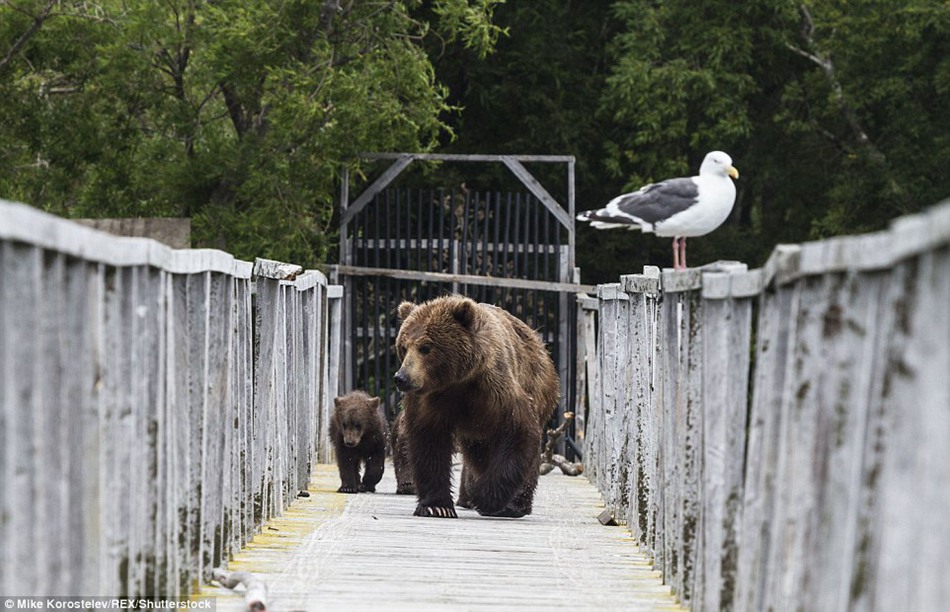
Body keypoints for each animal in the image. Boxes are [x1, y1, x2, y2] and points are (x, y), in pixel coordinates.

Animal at [392, 294, 556, 520]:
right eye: (403, 346)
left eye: (425, 347)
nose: (401, 378)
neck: (457, 380)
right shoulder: (430, 399)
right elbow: (429, 443)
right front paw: (437, 507)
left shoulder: (495, 389)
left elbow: (519, 431)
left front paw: (484, 496)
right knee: (479, 453)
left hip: (537, 385)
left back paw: (514, 505)